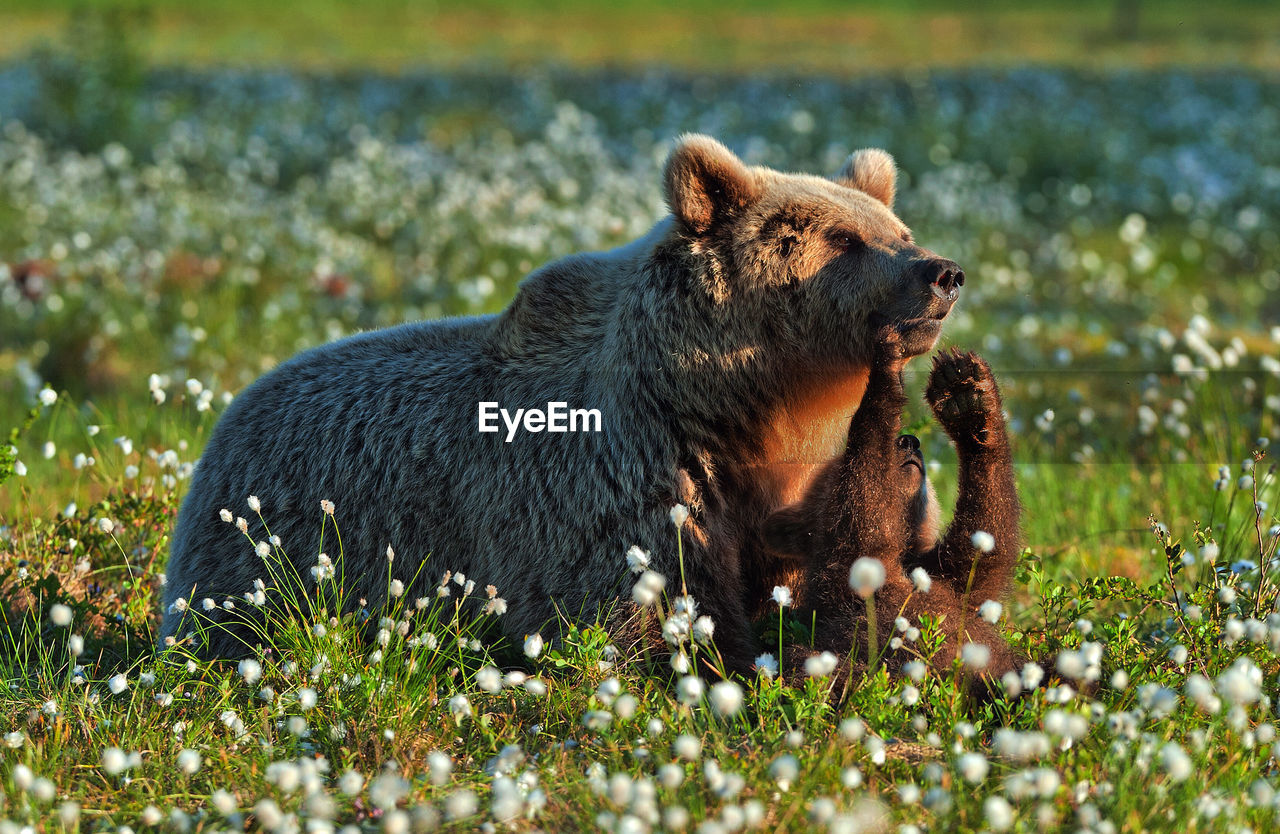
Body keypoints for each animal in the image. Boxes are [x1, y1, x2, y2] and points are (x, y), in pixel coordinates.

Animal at [157, 134, 962, 670]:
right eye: (844, 239)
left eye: (899, 229)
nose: (941, 271)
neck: (744, 411)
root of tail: (229, 416)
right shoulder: (619, 477)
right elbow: (645, 602)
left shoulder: (784, 489)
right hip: (271, 553)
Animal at [757, 322, 1018, 685]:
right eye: (838, 461)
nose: (908, 440)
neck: (901, 560)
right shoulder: (849, 571)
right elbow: (865, 500)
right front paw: (888, 361)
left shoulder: (945, 578)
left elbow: (985, 542)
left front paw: (966, 397)